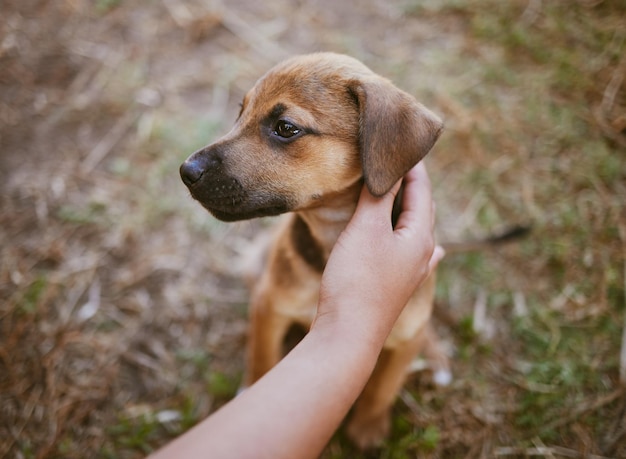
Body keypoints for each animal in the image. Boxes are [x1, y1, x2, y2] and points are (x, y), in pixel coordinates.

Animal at [178, 53, 446, 450]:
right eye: (240, 112)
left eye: (285, 128)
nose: (186, 171)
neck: (327, 237)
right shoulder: (271, 306)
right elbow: (262, 360)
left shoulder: (405, 337)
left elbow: (383, 387)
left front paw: (368, 426)